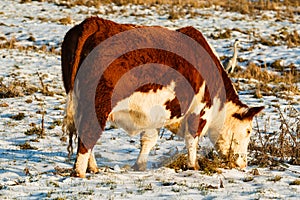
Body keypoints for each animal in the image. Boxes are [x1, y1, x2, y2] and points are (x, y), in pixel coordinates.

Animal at [62, 16, 264, 177]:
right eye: (248, 131)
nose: (244, 164)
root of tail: (95, 22)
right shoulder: (199, 110)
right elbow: (192, 138)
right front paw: (193, 166)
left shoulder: (156, 114)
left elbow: (148, 140)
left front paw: (140, 165)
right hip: (98, 104)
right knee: (88, 134)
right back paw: (80, 172)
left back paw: (93, 167)